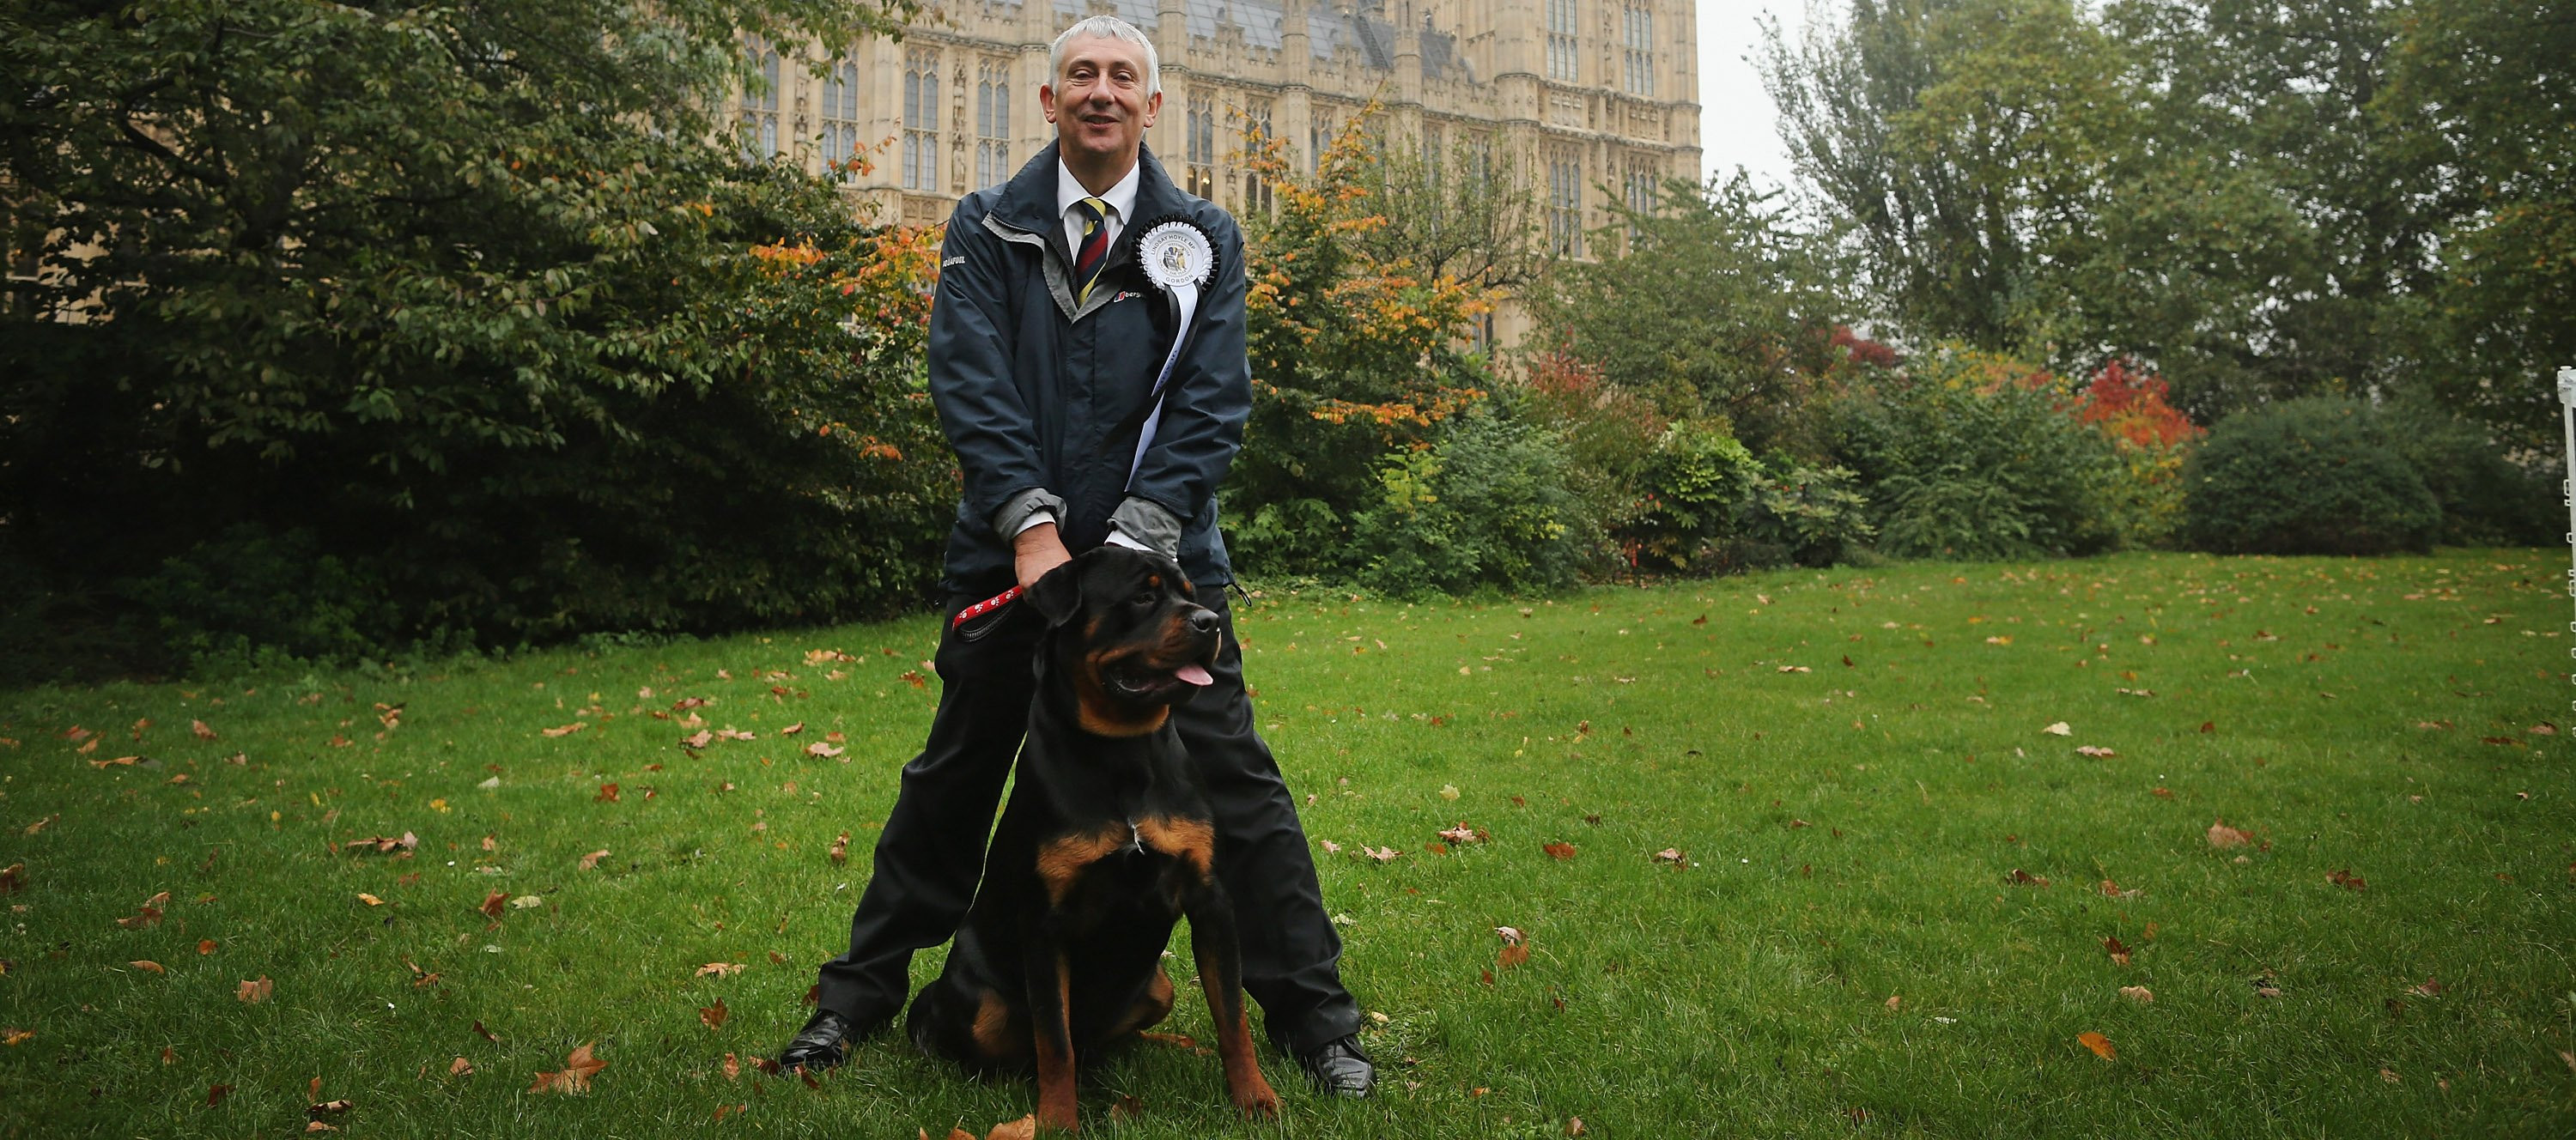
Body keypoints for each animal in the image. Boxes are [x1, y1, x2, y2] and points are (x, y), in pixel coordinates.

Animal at [907, 545, 1278, 1132]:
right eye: (1144, 596)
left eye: (1191, 594)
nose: (1210, 622)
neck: (1122, 751)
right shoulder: (1044, 924)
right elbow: (1053, 1041)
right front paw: (1058, 1122)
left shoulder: (1210, 899)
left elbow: (1233, 1015)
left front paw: (1254, 1098)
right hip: (981, 1005)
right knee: (1021, 1045)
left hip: (1158, 984)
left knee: (1115, 1039)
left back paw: (1177, 1046)